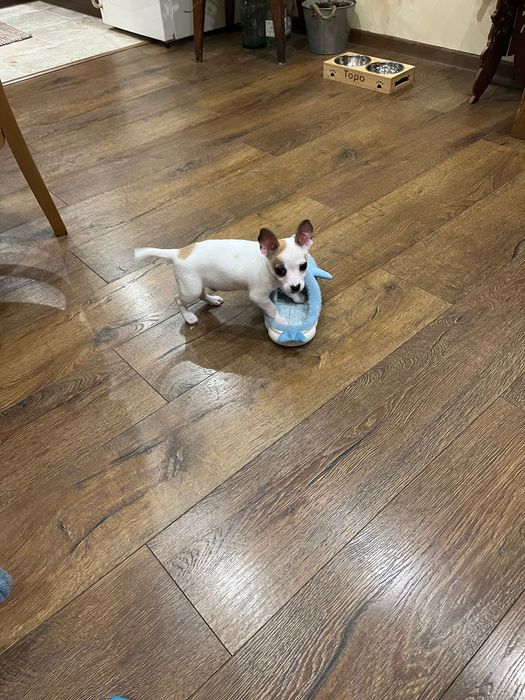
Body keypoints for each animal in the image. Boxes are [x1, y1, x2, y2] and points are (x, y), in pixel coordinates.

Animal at [134, 219, 314, 325]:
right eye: (280, 270)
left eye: (303, 266)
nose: (297, 287)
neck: (266, 264)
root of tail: (178, 252)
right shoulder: (258, 296)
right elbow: (271, 308)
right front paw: (280, 320)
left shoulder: (285, 283)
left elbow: (287, 290)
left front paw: (296, 297)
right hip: (190, 289)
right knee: (178, 299)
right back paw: (188, 317)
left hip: (198, 284)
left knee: (202, 294)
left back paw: (212, 300)